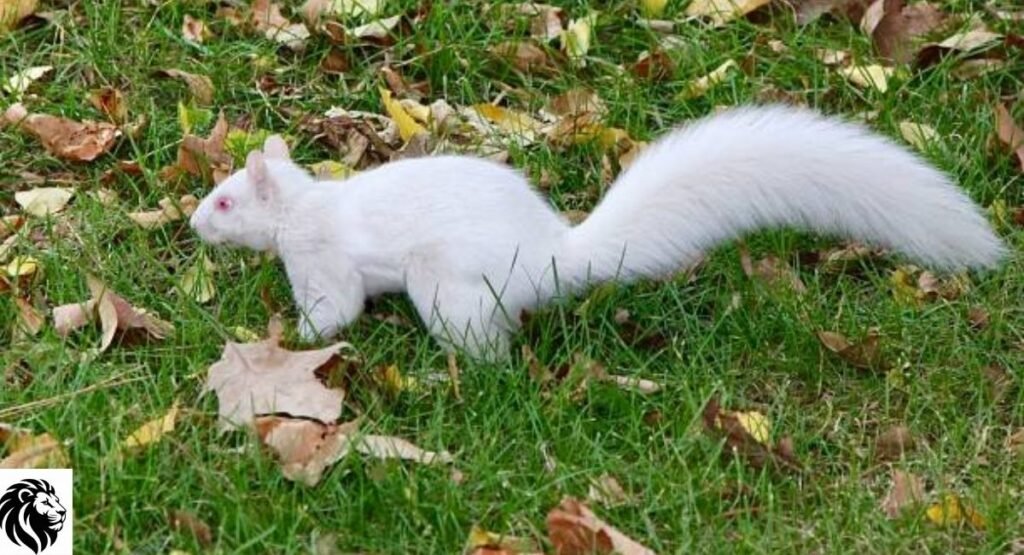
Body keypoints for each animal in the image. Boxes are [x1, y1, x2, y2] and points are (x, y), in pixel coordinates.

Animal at [190, 105, 1005, 359]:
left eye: (226, 201)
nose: (196, 222)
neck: (305, 208)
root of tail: (557, 258)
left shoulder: (325, 261)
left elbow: (333, 312)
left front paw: (285, 336)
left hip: (447, 285)